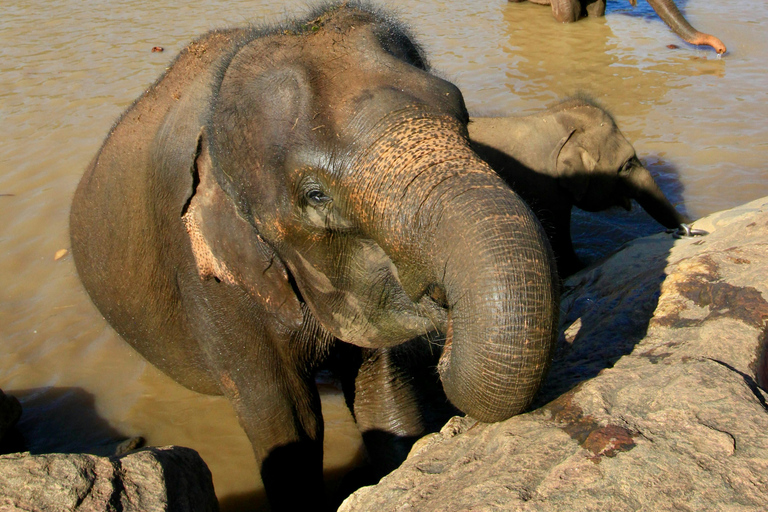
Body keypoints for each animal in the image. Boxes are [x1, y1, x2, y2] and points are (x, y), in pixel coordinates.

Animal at [69, 4, 559, 510]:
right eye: (316, 195)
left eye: (462, 117)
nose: (442, 359)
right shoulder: (209, 283)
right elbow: (287, 424)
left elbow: (381, 389)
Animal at [469, 98, 703, 277]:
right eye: (627, 165)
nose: (687, 230)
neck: (549, 119)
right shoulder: (546, 192)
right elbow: (562, 250)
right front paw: (582, 266)